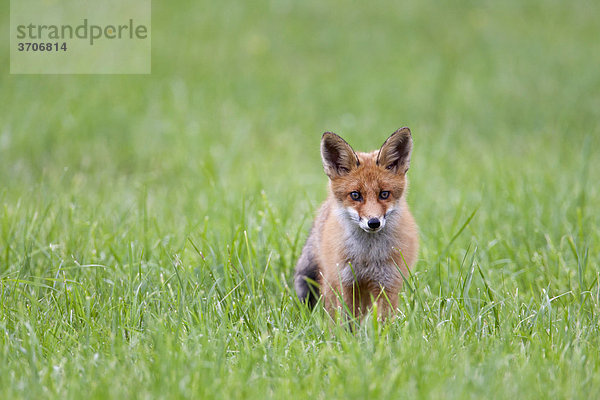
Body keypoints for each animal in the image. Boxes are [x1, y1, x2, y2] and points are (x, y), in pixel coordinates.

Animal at [294, 126, 418, 320]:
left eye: (384, 194)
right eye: (355, 195)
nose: (373, 222)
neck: (368, 256)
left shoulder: (388, 283)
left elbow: (384, 321)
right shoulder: (345, 282)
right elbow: (346, 319)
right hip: (330, 280)